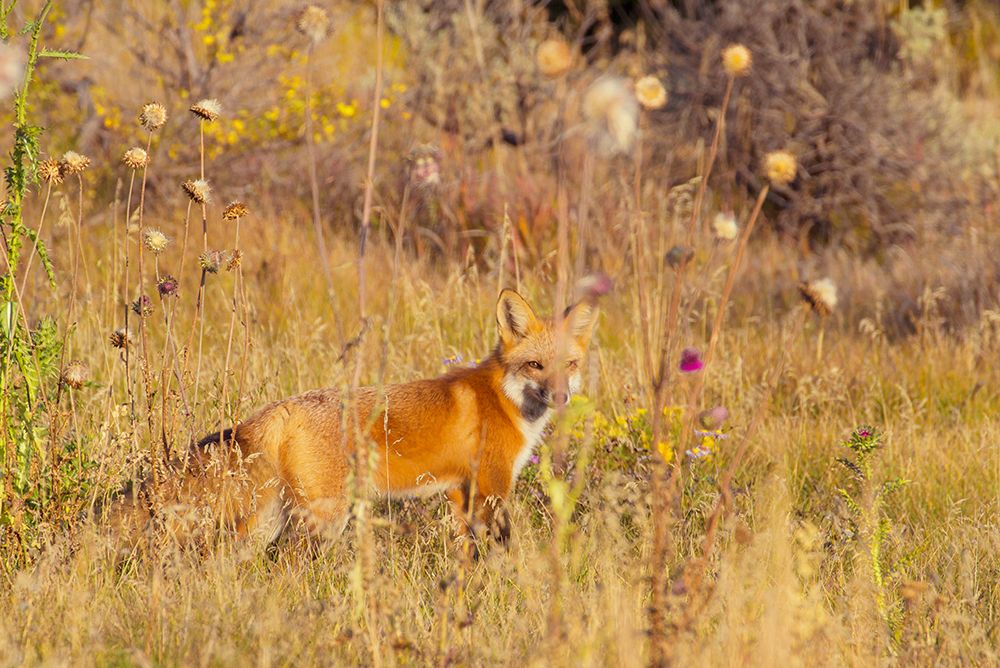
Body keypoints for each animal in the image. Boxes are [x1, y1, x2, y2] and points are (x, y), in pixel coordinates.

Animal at [109, 290, 592, 548]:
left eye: (569, 365)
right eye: (535, 365)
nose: (561, 397)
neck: (504, 400)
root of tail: (281, 407)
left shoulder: (461, 491)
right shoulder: (491, 489)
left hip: (270, 517)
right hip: (324, 518)